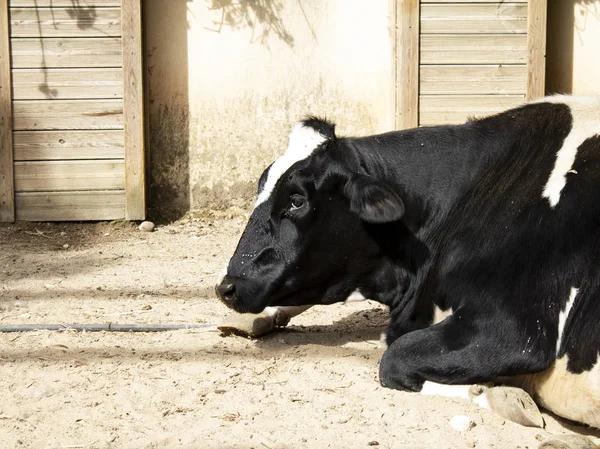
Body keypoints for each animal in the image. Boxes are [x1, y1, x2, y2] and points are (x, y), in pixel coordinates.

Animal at [216, 94, 600, 440]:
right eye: (261, 185)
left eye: (296, 201)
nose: (226, 286)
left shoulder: (515, 331)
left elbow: (393, 361)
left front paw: (498, 394)